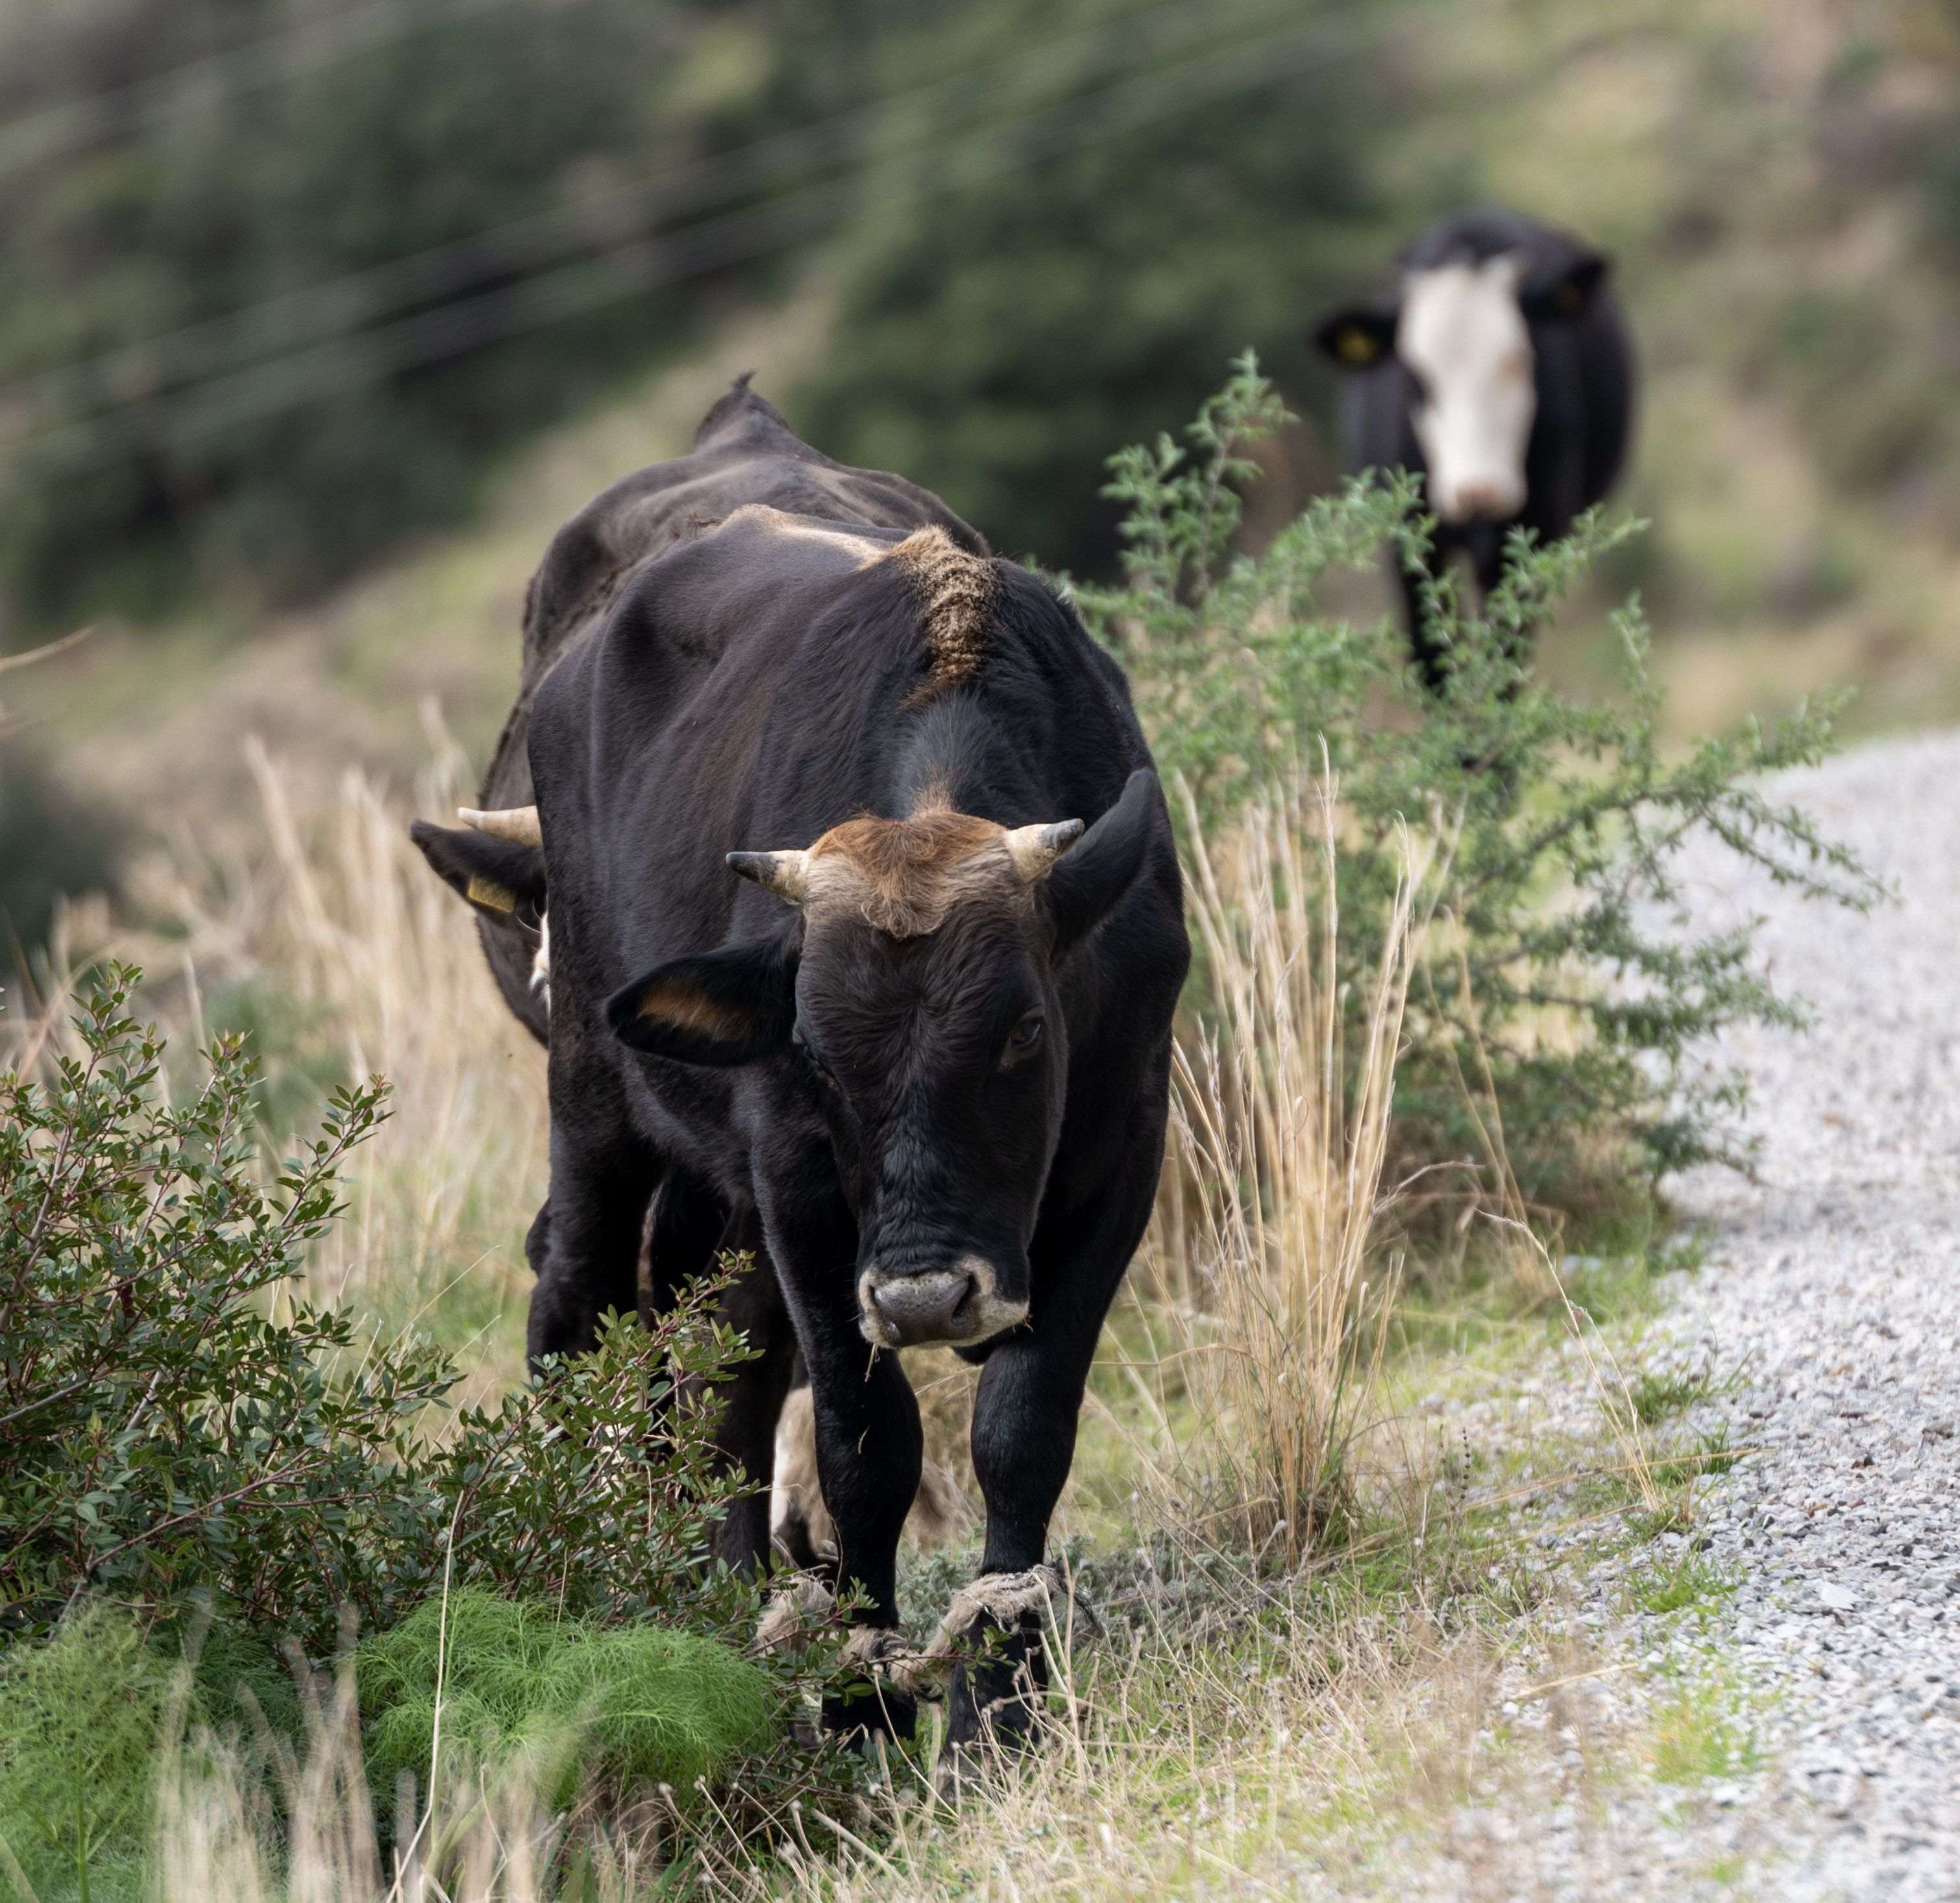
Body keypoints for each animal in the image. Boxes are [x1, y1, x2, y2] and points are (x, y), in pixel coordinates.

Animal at [406, 384, 1184, 1756]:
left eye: (1025, 1030)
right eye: (815, 1049)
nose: (926, 1294)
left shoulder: (1119, 1148)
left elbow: (1019, 1429)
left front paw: (996, 1703)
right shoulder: (800, 1186)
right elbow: (865, 1441)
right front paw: (862, 1697)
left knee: (710, 1381)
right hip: (598, 1112)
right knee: (576, 1314)